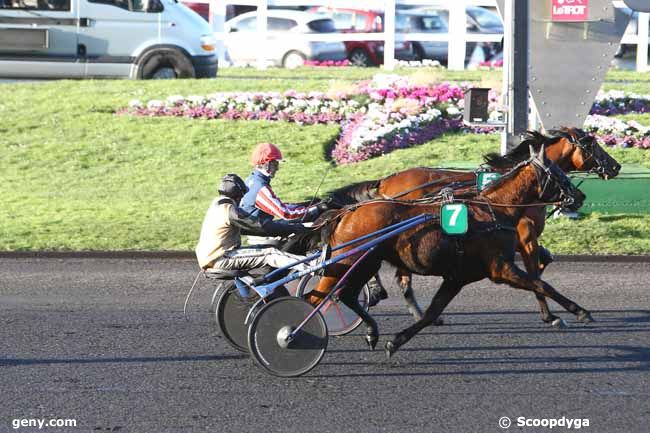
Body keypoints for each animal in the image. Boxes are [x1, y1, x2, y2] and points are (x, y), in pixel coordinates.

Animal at [308, 145, 588, 352]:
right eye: (558, 174)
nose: (581, 197)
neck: (495, 210)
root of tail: (345, 213)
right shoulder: (501, 268)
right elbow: (541, 283)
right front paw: (578, 312)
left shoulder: (457, 277)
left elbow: (433, 313)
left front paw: (395, 342)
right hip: (349, 261)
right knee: (317, 298)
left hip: (365, 262)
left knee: (345, 295)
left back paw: (371, 331)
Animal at [326, 127, 620, 324]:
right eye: (591, 143)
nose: (615, 166)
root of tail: (386, 181)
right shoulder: (526, 235)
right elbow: (535, 274)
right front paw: (552, 316)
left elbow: (543, 264)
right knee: (395, 273)